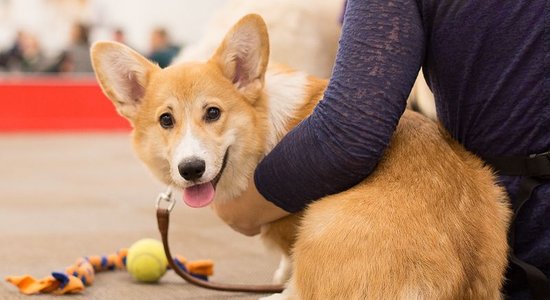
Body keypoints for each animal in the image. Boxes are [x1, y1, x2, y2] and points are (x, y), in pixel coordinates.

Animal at [91, 14, 512, 300]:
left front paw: (281, 275)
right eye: (166, 120)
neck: (262, 128)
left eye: (213, 113)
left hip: (319, 218)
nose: (191, 169)